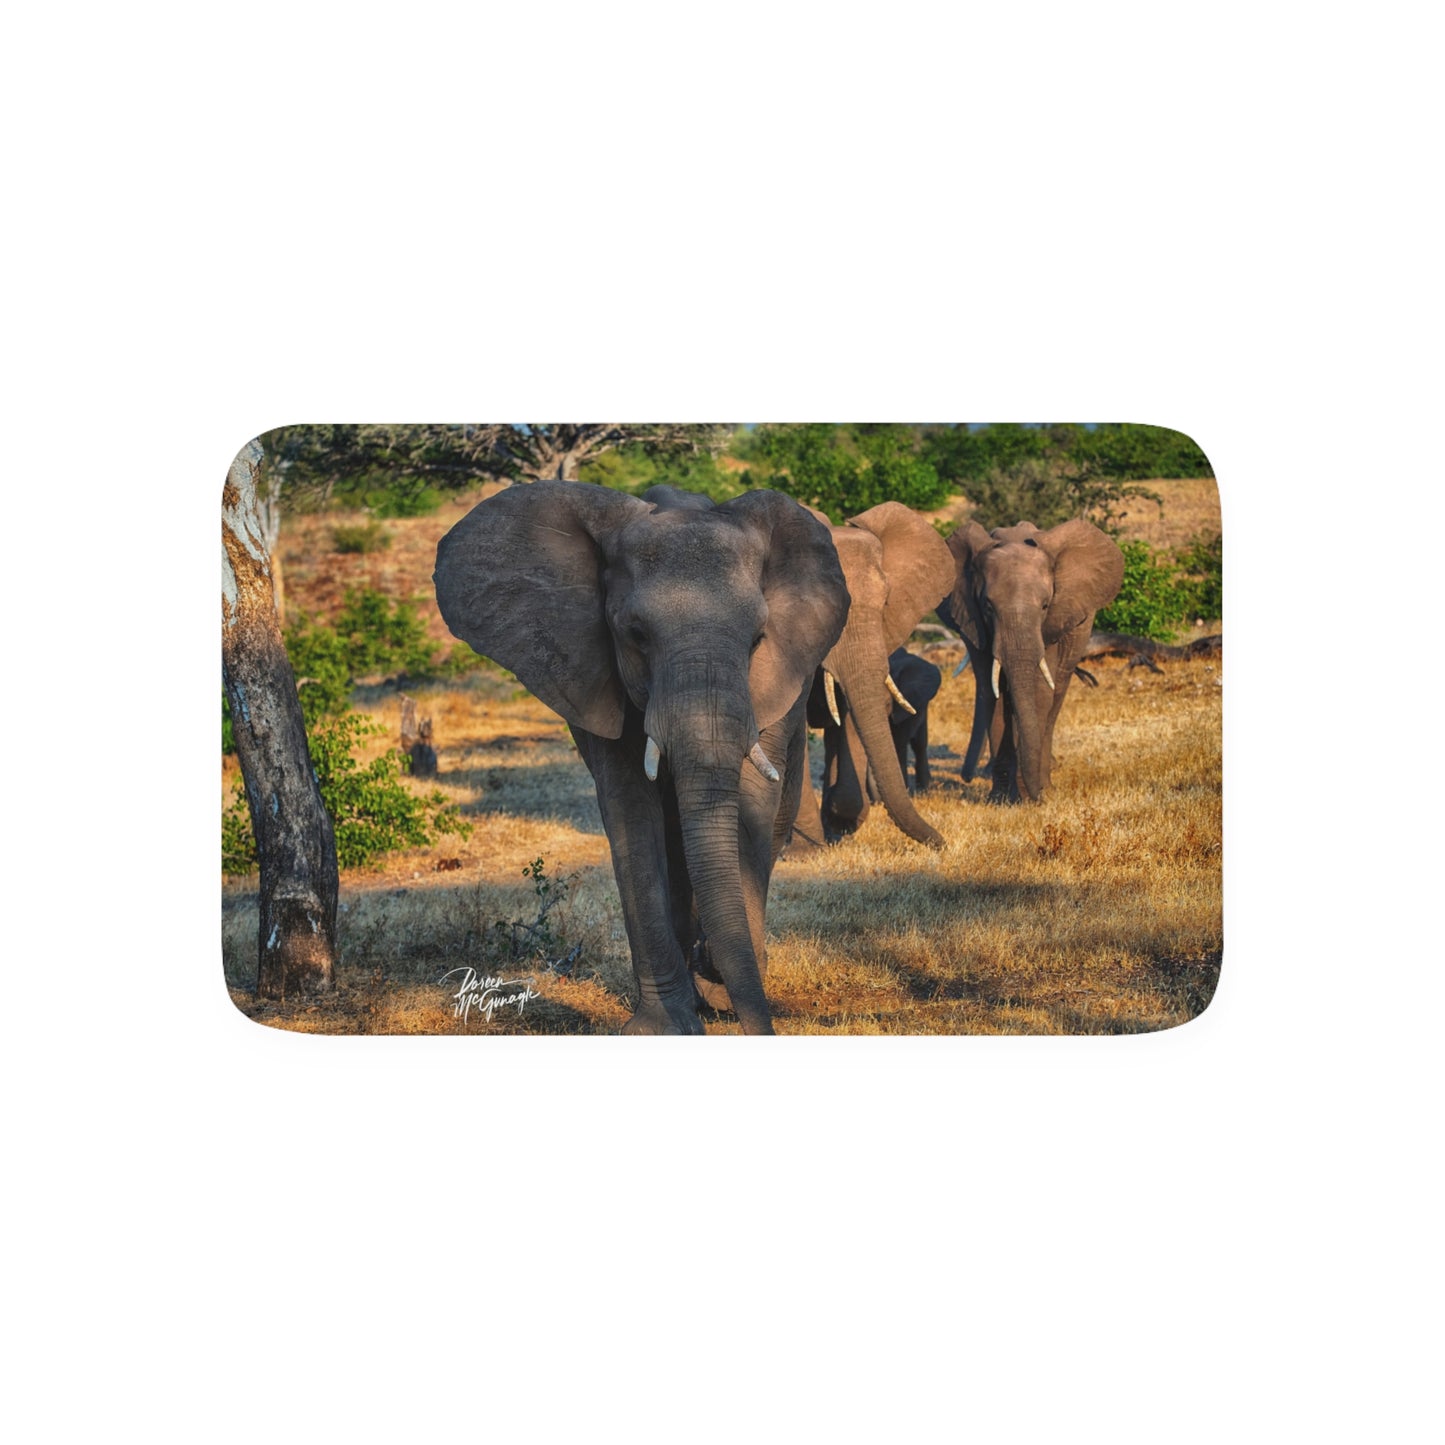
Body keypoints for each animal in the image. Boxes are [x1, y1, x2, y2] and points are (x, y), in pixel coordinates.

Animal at [433, 480, 849, 1035]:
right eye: (636, 634)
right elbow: (631, 808)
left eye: (758, 639)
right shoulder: (594, 674)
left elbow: (751, 799)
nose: (712, 965)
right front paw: (666, 1026)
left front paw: (719, 985)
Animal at [942, 519, 1123, 803]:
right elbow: (993, 691)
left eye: (1045, 606)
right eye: (988, 606)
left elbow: (1038, 692)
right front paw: (1001, 800)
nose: (966, 777)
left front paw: (1031, 797)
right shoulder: (972, 619)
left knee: (1056, 695)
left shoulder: (1052, 625)